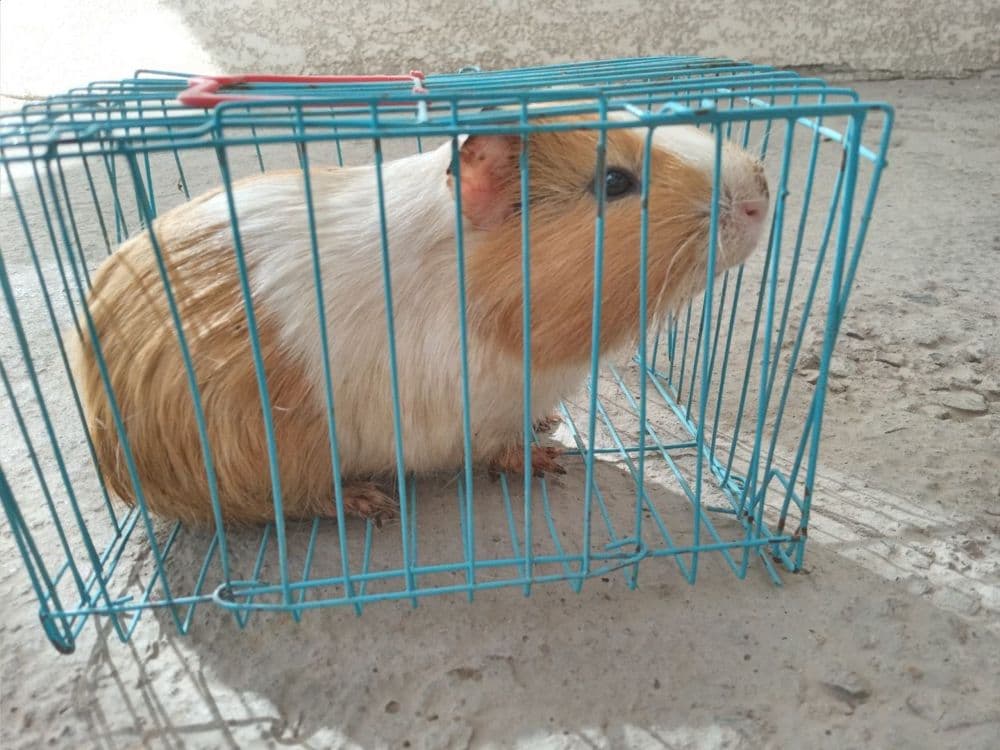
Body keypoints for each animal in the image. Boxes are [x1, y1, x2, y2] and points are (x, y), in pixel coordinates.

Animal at [72, 113, 770, 525]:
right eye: (616, 183)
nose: (761, 195)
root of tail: (117, 459)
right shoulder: (471, 417)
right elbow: (499, 451)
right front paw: (549, 460)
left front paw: (548, 428)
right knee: (299, 501)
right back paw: (370, 504)